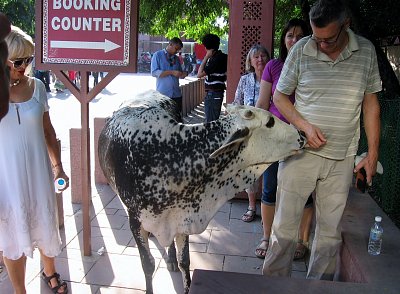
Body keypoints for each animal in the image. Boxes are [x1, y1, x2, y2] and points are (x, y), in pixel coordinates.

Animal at [97, 90, 306, 294]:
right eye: (270, 122)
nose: (302, 133)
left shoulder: (181, 217)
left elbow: (185, 261)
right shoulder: (136, 221)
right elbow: (147, 265)